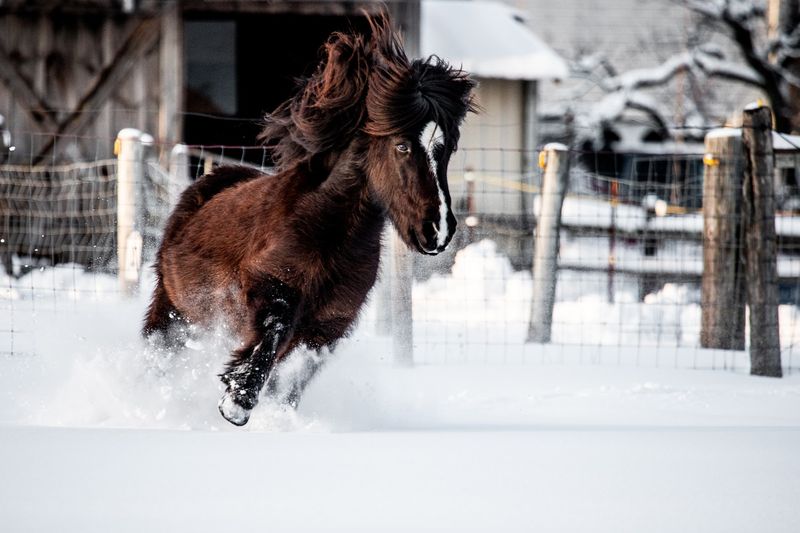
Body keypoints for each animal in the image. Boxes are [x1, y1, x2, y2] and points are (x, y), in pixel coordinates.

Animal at [143, 13, 475, 426]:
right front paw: (237, 401)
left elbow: (294, 376)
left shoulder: (330, 325)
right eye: (401, 145)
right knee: (159, 357)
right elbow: (274, 333)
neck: (327, 234)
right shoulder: (269, 289)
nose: (439, 230)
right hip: (173, 312)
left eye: (449, 148)